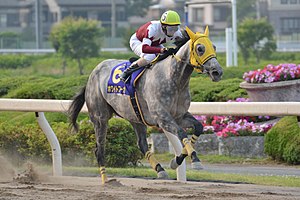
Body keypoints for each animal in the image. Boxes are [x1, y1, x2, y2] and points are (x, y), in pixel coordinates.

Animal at [68, 26, 223, 184]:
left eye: (214, 47)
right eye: (200, 48)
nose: (218, 72)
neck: (173, 78)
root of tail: (92, 74)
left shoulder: (179, 116)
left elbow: (198, 127)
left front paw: (176, 161)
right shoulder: (162, 117)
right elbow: (181, 132)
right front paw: (195, 160)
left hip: (135, 116)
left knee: (141, 143)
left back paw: (160, 170)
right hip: (100, 117)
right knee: (100, 149)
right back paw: (106, 180)